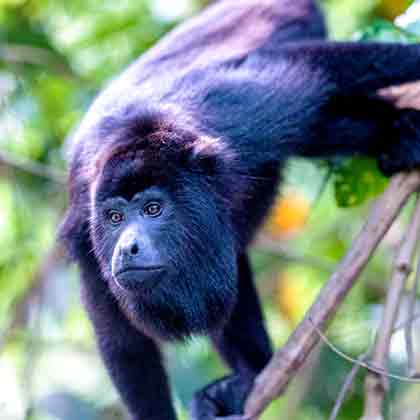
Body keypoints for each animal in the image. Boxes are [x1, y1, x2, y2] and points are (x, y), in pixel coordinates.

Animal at [60, 0, 420, 418]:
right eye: (115, 218)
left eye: (153, 209)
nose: (127, 247)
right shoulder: (85, 232)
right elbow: (124, 345)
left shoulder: (245, 115)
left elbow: (313, 68)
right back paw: (248, 376)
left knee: (323, 119)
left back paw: (403, 131)